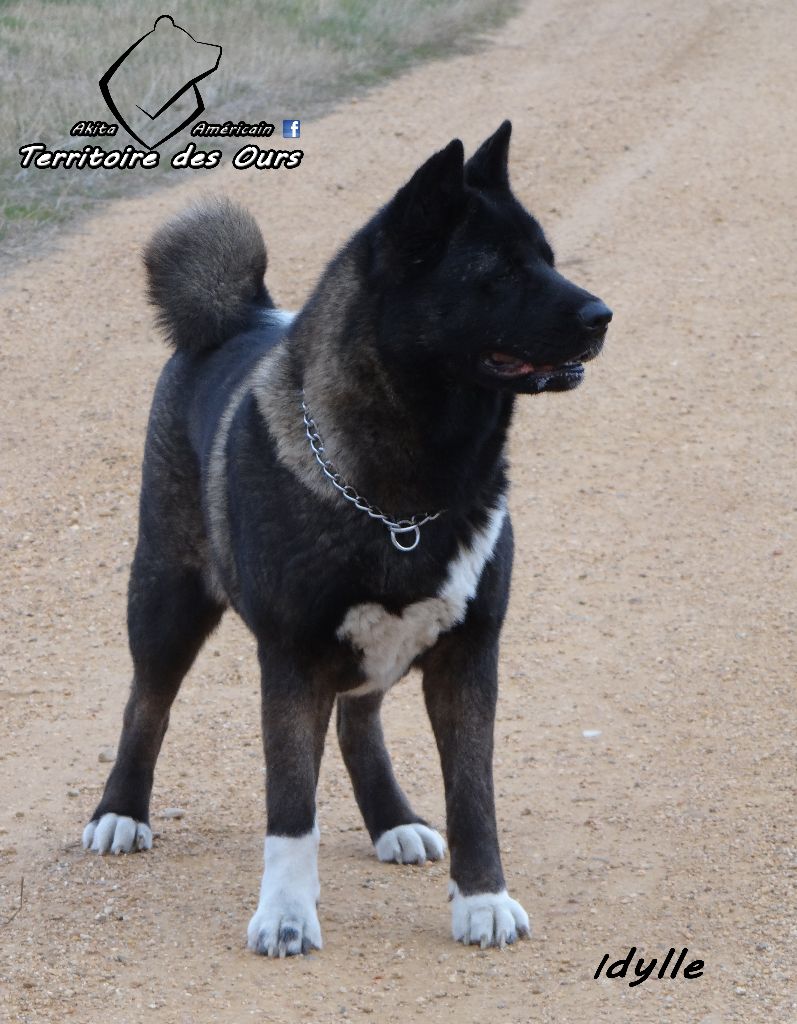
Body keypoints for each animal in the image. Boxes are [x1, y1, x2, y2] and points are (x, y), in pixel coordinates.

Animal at [82, 121, 610, 958]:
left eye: (548, 259)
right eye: (496, 271)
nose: (600, 315)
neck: (412, 492)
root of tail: (238, 316)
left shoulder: (469, 655)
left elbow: (473, 795)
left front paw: (482, 899)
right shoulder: (291, 659)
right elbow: (290, 806)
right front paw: (286, 915)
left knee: (359, 720)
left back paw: (391, 819)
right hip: (166, 598)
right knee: (147, 704)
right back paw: (120, 812)